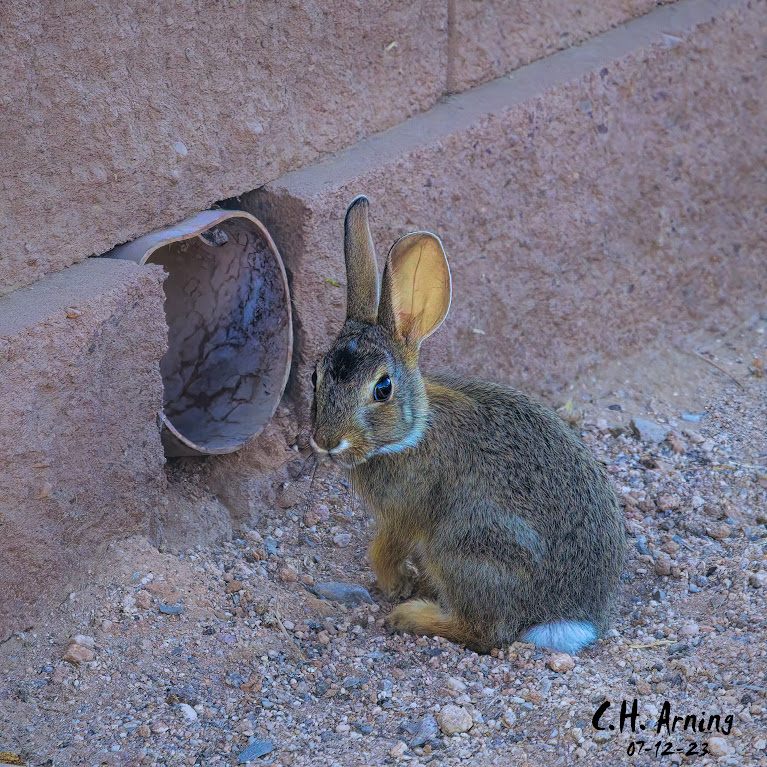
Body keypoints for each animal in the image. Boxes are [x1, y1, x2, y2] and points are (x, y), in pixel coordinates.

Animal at [309, 195, 625, 654]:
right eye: (315, 376)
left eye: (382, 388)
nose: (325, 441)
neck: (411, 434)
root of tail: (564, 618)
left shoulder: (405, 514)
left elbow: (383, 549)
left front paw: (395, 585)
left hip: (465, 549)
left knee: (485, 631)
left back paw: (411, 616)